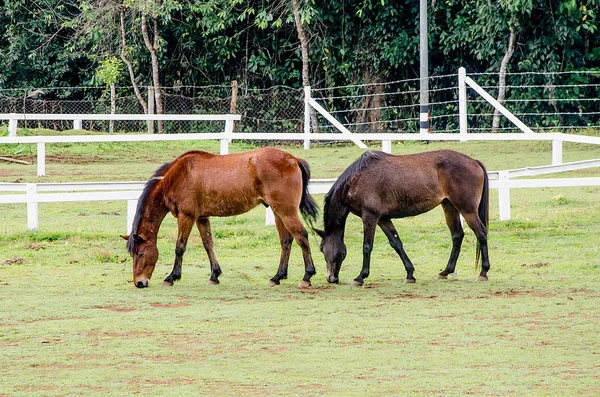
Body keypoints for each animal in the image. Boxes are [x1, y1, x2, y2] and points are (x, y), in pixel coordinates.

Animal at [120, 148, 318, 288]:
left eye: (141, 253)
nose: (139, 283)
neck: (177, 176)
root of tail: (293, 159)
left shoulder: (186, 216)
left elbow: (180, 247)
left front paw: (172, 277)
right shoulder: (201, 217)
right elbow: (208, 245)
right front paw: (214, 275)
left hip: (286, 211)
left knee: (302, 236)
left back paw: (307, 276)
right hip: (278, 212)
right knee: (286, 240)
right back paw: (277, 277)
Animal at [312, 149, 490, 284]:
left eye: (321, 248)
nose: (331, 278)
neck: (357, 180)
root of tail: (474, 161)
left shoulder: (370, 217)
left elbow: (367, 246)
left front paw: (360, 277)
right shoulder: (383, 219)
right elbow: (396, 244)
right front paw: (410, 274)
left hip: (467, 210)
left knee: (481, 234)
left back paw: (483, 272)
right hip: (450, 207)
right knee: (457, 236)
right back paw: (445, 272)